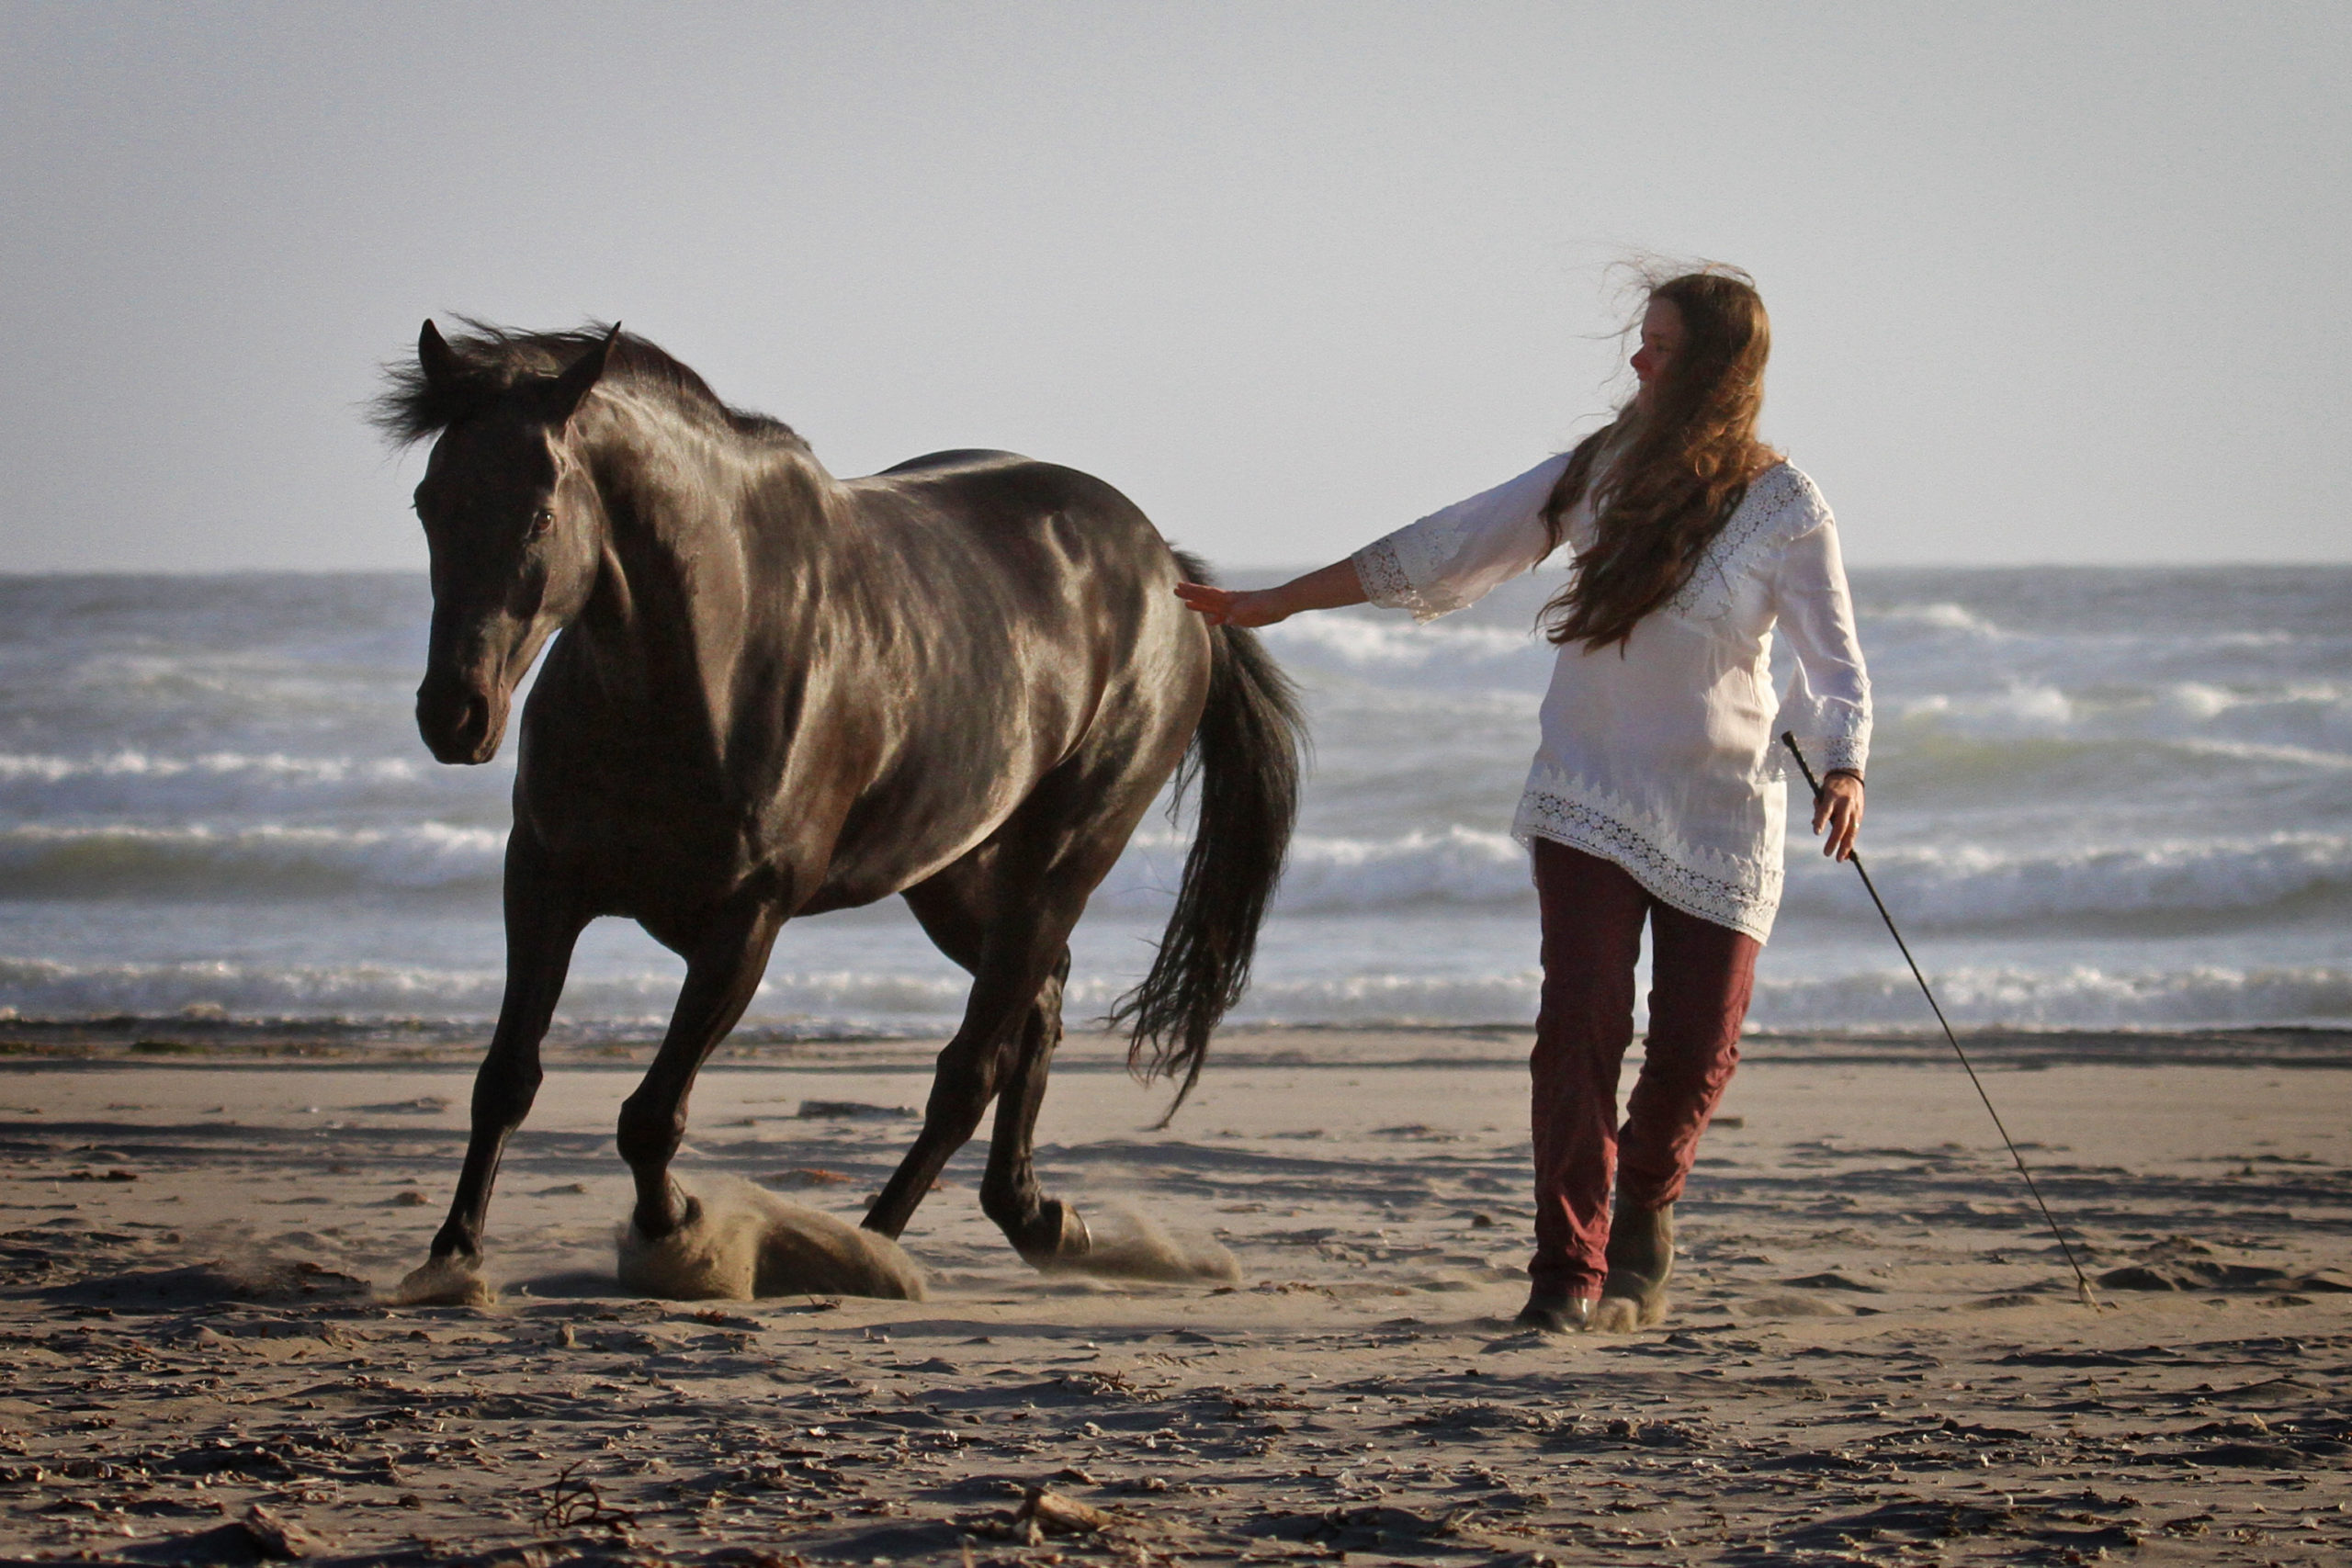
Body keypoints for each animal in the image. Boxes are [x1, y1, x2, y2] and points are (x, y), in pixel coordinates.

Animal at [371, 320, 1301, 1300]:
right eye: (429, 502)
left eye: (541, 515)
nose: (454, 714)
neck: (703, 662)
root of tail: (1171, 578)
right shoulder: (544, 881)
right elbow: (506, 1078)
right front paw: (453, 1254)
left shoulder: (745, 922)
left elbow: (651, 1115)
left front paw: (677, 1230)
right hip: (952, 874)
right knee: (1036, 1005)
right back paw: (1034, 1217)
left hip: (1061, 859)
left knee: (970, 1066)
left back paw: (869, 1247)